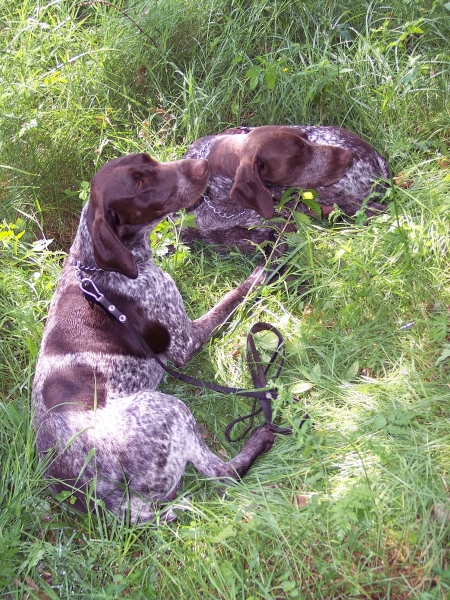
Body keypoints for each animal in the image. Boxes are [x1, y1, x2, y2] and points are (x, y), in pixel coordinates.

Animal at [32, 152, 274, 524]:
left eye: (150, 161)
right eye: (140, 186)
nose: (201, 165)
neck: (95, 268)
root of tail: (110, 503)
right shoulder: (185, 339)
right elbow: (231, 297)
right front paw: (264, 268)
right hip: (169, 408)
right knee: (223, 472)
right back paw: (262, 434)